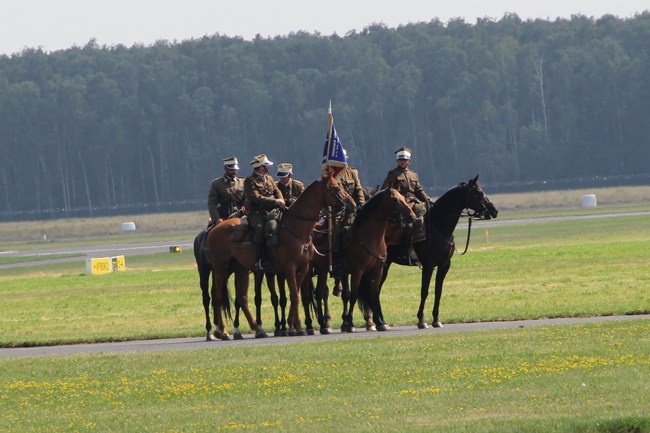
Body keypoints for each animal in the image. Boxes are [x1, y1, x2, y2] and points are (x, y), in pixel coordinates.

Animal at [206, 171, 354, 338]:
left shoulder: (303, 268)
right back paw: (223, 331)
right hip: (220, 268)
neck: (296, 229)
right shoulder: (289, 268)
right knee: (218, 296)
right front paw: (295, 327)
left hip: (240, 269)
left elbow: (295, 295)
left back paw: (257, 329)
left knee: (242, 298)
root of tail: (216, 227)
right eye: (335, 188)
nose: (352, 205)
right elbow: (295, 296)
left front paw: (294, 326)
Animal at [334, 187, 416, 332]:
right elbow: (354, 296)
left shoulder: (377, 271)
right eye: (394, 199)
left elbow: (374, 294)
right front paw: (351, 323)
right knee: (345, 295)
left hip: (345, 272)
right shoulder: (357, 272)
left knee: (345, 295)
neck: (370, 238)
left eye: (402, 197)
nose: (412, 216)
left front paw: (380, 322)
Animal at [380, 174, 496, 330]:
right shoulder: (428, 266)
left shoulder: (444, 265)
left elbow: (438, 291)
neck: (439, 225)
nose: (494, 211)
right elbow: (424, 291)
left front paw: (436, 320)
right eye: (479, 193)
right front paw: (421, 320)